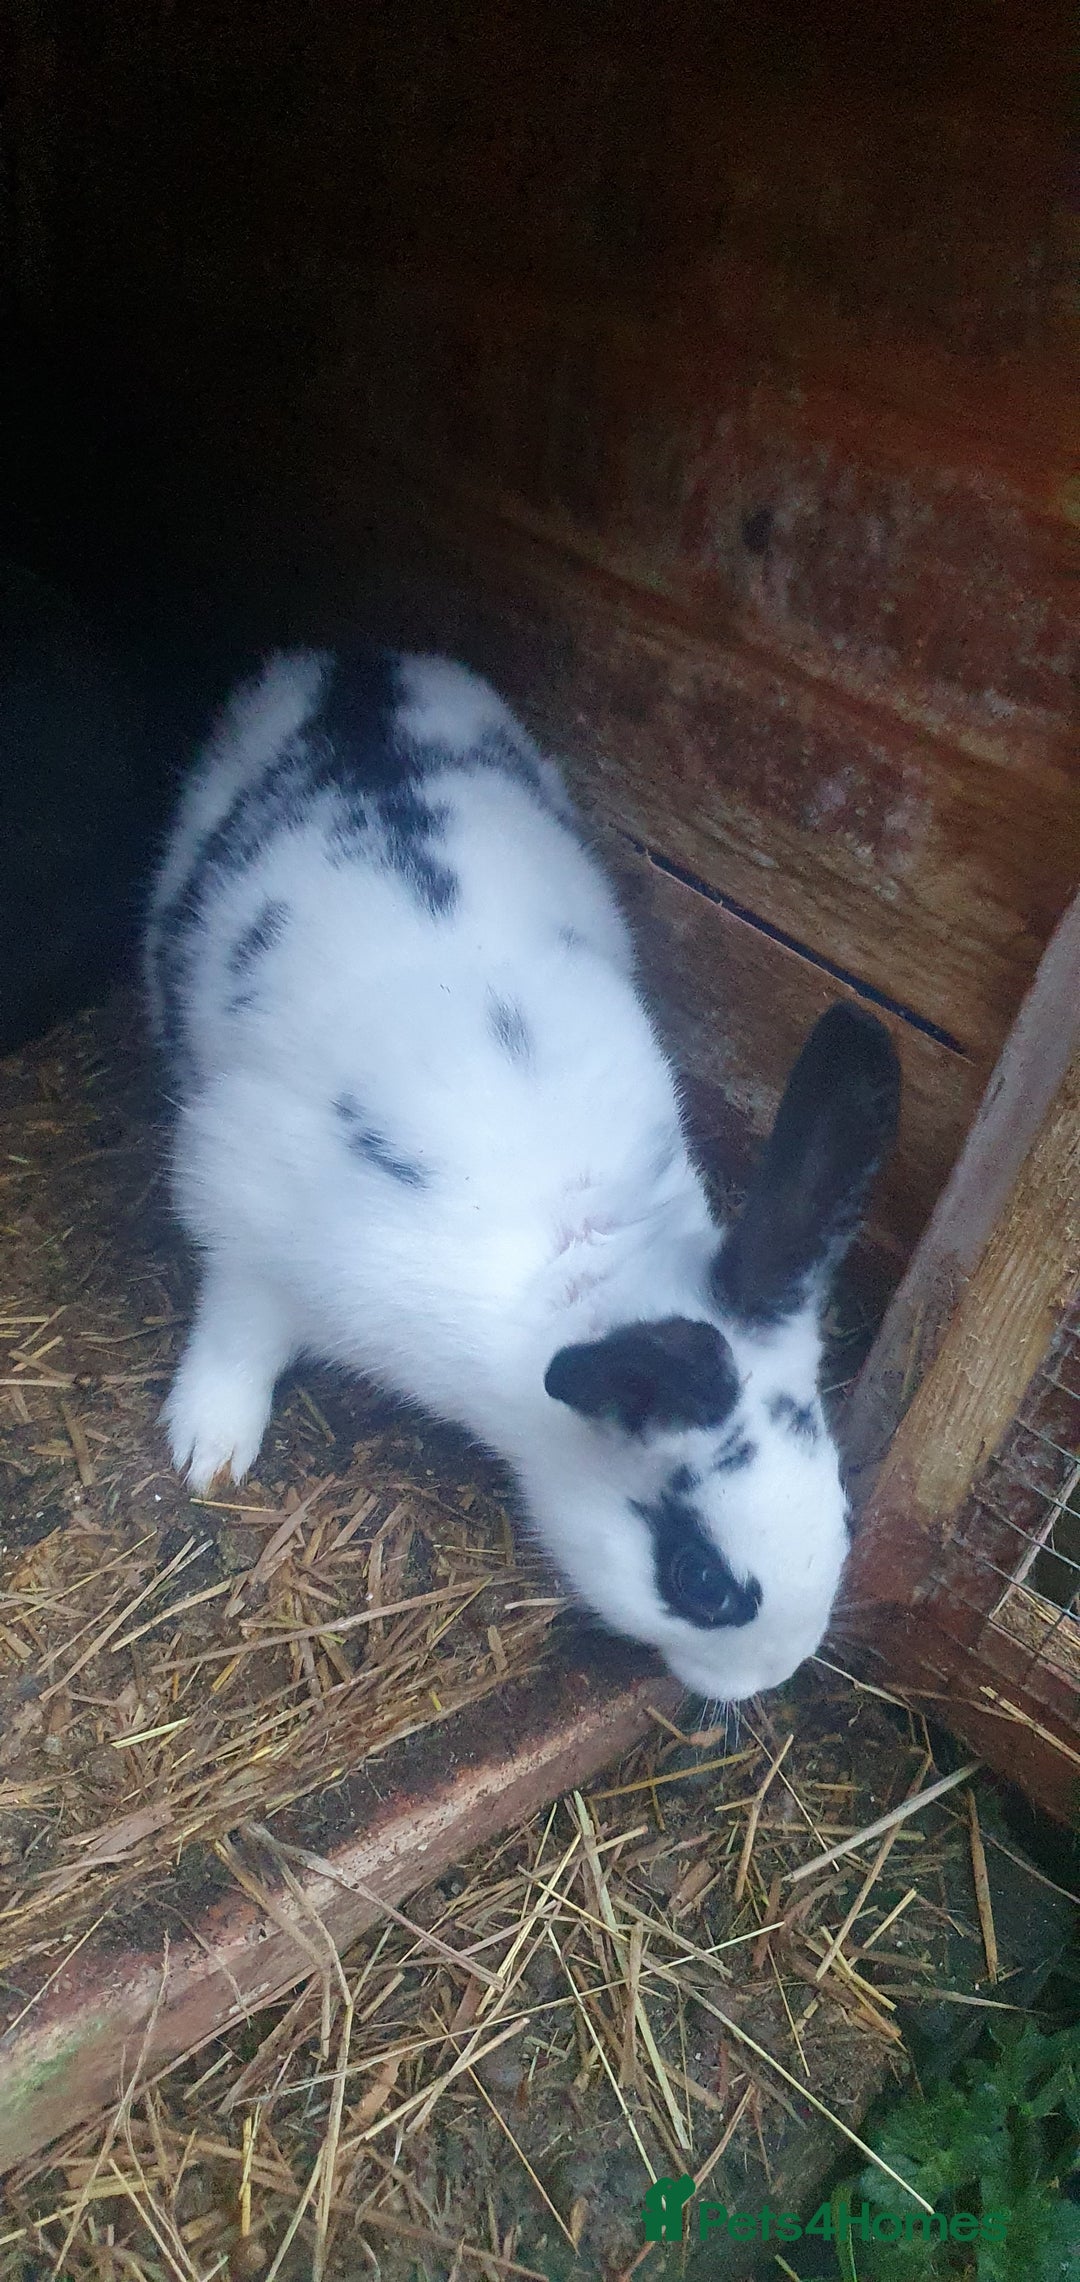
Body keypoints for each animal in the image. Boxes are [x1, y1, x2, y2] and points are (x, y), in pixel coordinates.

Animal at [145, 645, 900, 1703]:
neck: (578, 1261)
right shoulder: (242, 1205)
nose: (773, 1676)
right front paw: (208, 1450)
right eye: (700, 1579)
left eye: (840, 1513)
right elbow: (237, 1329)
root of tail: (353, 661)